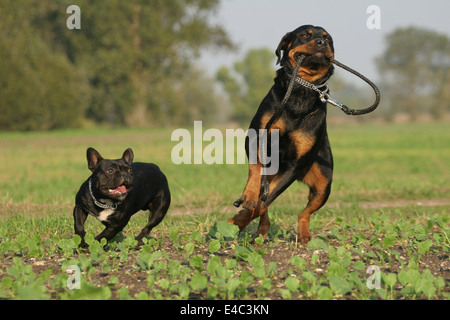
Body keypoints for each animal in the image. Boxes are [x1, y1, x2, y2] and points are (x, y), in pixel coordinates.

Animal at [232, 25, 334, 244]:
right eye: (304, 35)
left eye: (328, 39)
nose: (322, 42)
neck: (301, 88)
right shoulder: (256, 136)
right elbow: (256, 170)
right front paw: (249, 195)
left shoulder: (295, 166)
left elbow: (266, 200)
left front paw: (239, 219)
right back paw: (260, 231)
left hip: (323, 185)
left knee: (303, 212)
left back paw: (303, 235)